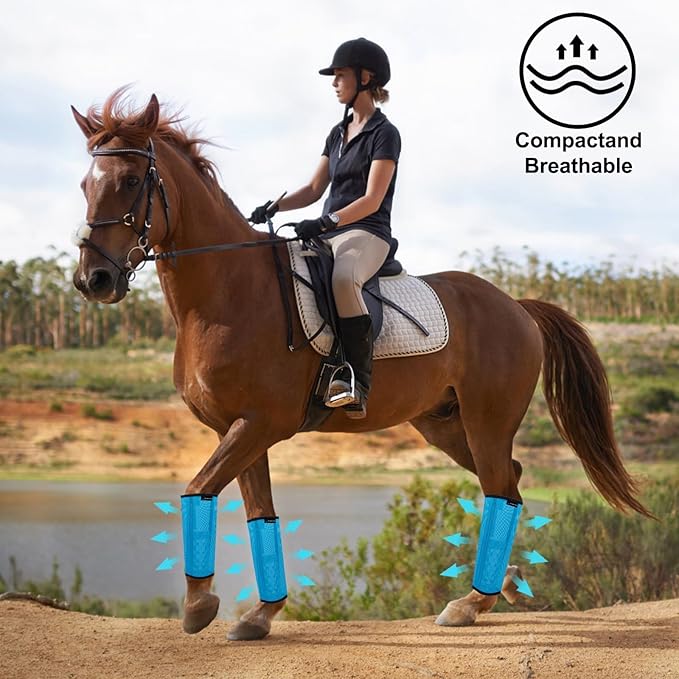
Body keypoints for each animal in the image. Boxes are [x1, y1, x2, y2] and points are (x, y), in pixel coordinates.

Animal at [70, 87, 651, 641]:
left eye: (130, 180)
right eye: (84, 184)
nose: (93, 279)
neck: (227, 293)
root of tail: (516, 305)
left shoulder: (260, 424)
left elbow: (196, 489)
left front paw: (199, 606)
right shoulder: (236, 430)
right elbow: (257, 512)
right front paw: (260, 615)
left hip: (487, 421)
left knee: (500, 484)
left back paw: (471, 603)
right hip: (443, 425)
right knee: (507, 478)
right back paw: (499, 587)